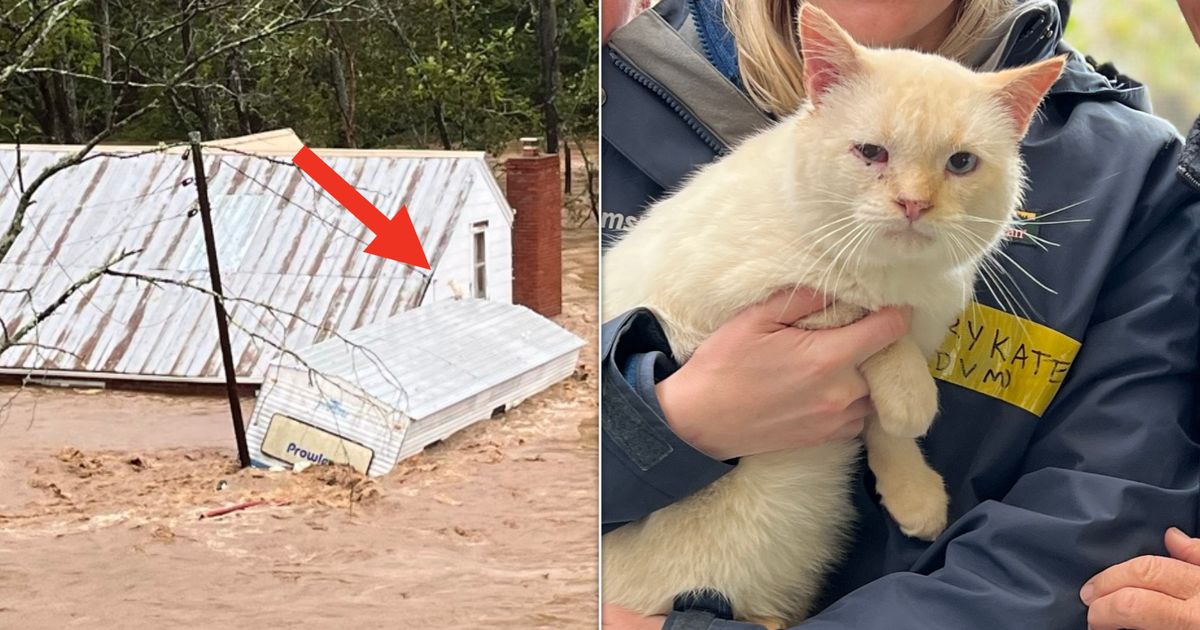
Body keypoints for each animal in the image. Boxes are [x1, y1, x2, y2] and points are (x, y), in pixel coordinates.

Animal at [604, 6, 1065, 628]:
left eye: (961, 163)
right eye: (871, 153)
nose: (914, 204)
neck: (900, 275)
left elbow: (883, 425)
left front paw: (912, 489)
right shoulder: (714, 301)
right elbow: (857, 310)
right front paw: (911, 394)